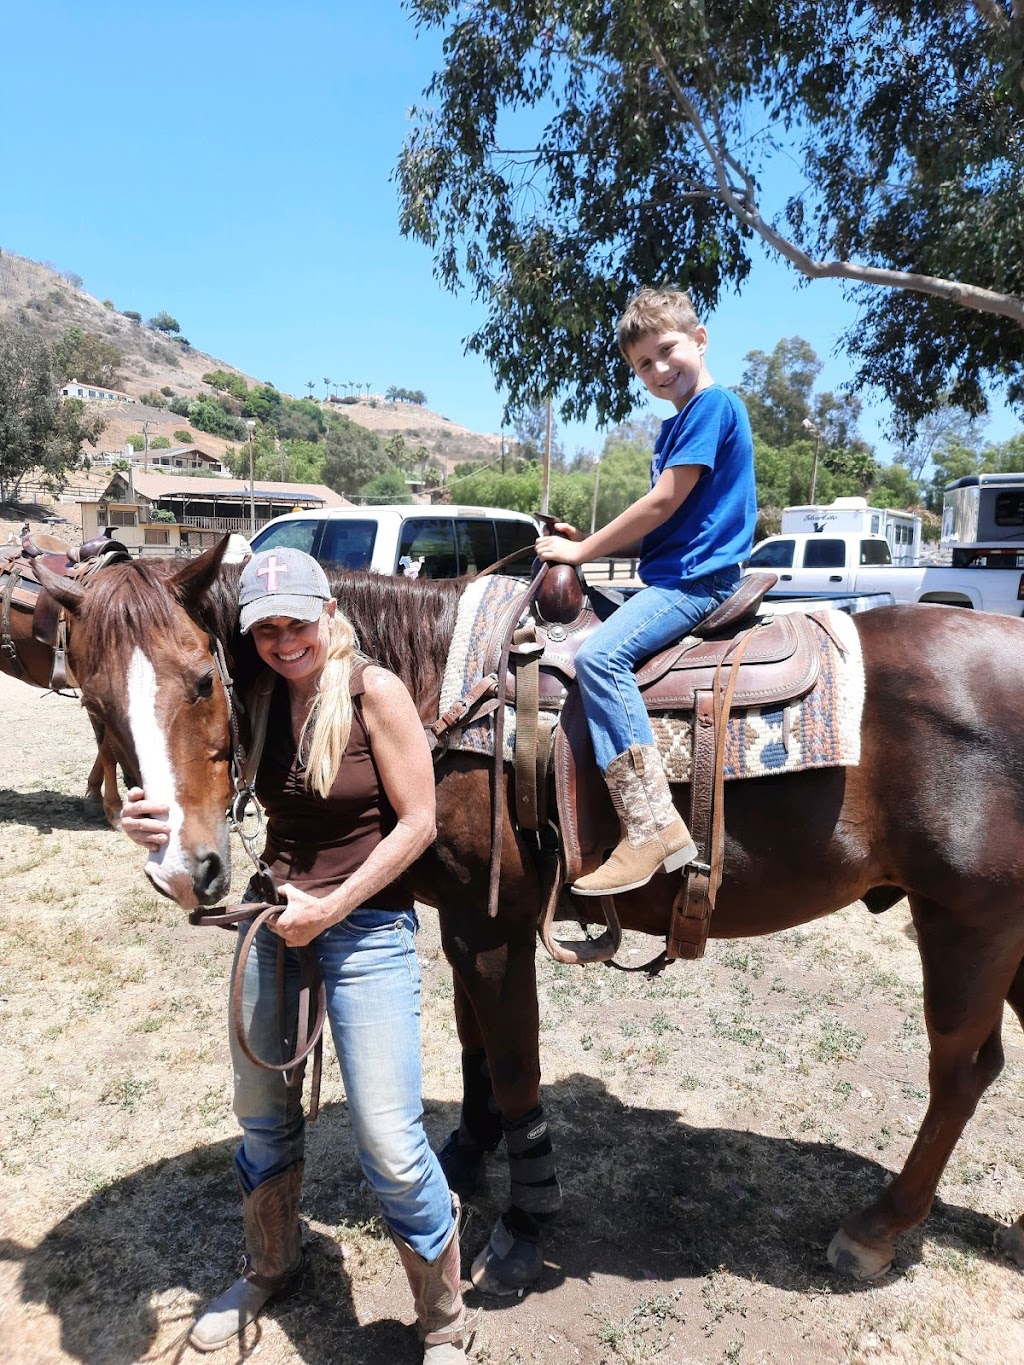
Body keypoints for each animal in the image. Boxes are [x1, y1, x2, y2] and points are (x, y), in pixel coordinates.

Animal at [36, 535, 1024, 1288]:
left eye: (202, 680)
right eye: (93, 700)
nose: (185, 866)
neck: (435, 691)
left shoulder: (493, 928)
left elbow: (513, 1065)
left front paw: (523, 1224)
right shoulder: (466, 920)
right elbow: (474, 1044)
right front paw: (466, 1155)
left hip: (967, 924)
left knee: (960, 1072)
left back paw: (877, 1226)